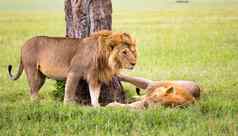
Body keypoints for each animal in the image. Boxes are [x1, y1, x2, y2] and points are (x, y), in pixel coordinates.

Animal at [7, 30, 138, 107]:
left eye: (132, 51)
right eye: (124, 52)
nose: (134, 63)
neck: (103, 57)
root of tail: (23, 45)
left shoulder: (95, 78)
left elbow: (94, 94)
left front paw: (97, 108)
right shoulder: (74, 72)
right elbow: (69, 91)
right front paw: (67, 107)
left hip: (41, 76)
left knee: (34, 89)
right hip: (32, 69)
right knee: (33, 90)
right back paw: (36, 105)